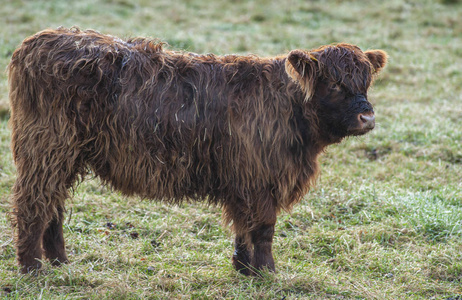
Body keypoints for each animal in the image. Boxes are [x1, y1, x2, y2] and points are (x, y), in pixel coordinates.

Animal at [8, 27, 386, 274]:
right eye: (334, 84)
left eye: (366, 82)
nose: (367, 117)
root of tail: (37, 41)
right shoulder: (258, 179)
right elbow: (263, 228)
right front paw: (267, 272)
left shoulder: (242, 181)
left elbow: (243, 228)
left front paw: (244, 269)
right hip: (47, 147)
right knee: (33, 202)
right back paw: (33, 268)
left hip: (63, 154)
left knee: (53, 204)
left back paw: (60, 262)